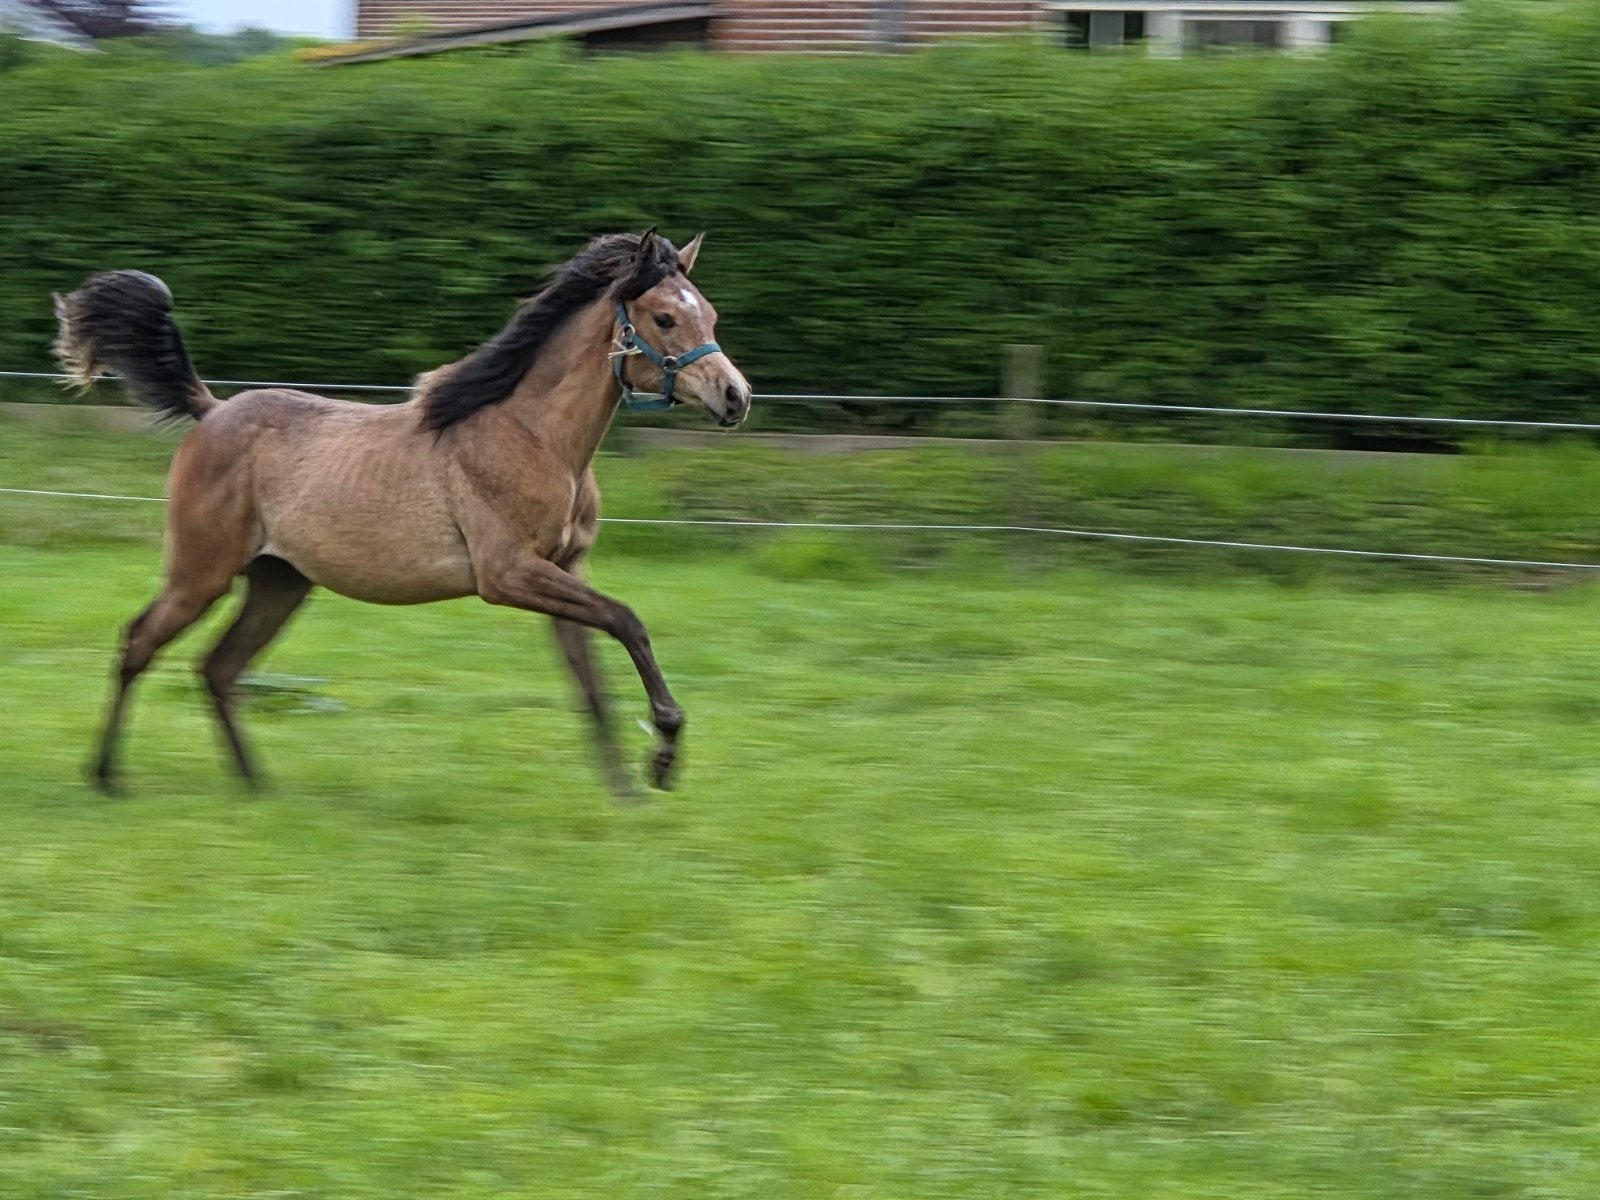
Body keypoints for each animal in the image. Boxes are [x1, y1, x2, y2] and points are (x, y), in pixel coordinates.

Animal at [53, 229, 751, 801]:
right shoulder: (508, 575)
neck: (535, 437)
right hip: (201, 574)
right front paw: (664, 753)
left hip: (280, 582)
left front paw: (629, 787)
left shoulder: (565, 569)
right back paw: (106, 777)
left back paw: (256, 787)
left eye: (711, 313)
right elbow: (629, 622)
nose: (736, 397)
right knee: (139, 642)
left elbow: (591, 679)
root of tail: (212, 410)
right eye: (663, 316)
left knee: (218, 668)